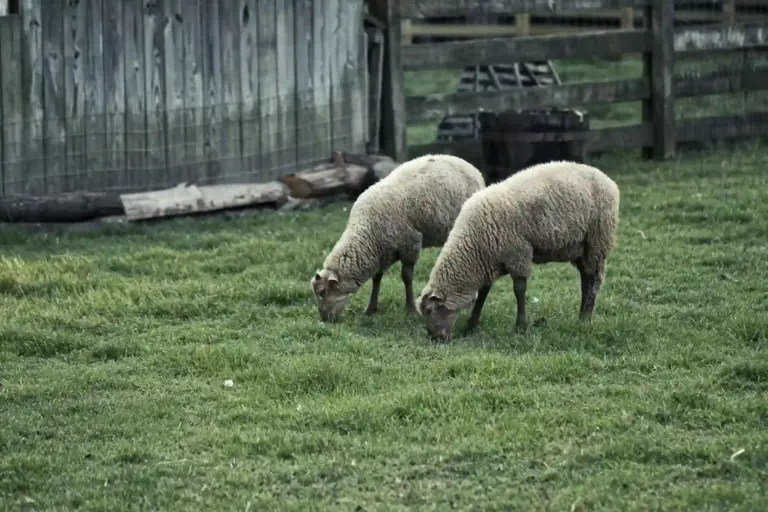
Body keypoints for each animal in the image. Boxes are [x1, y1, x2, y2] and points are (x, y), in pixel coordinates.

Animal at [311, 153, 486, 323]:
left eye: (323, 291)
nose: (324, 319)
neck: (366, 229)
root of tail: (466, 163)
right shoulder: (381, 253)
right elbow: (376, 278)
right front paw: (370, 309)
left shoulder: (410, 246)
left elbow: (406, 277)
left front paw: (410, 309)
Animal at [417, 160, 620, 341]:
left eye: (429, 310)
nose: (435, 338)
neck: (473, 247)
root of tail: (608, 180)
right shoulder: (491, 260)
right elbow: (483, 292)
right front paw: (471, 325)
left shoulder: (517, 254)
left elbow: (519, 290)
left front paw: (521, 326)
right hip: (581, 249)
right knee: (585, 279)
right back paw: (582, 316)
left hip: (597, 240)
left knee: (593, 280)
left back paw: (585, 318)